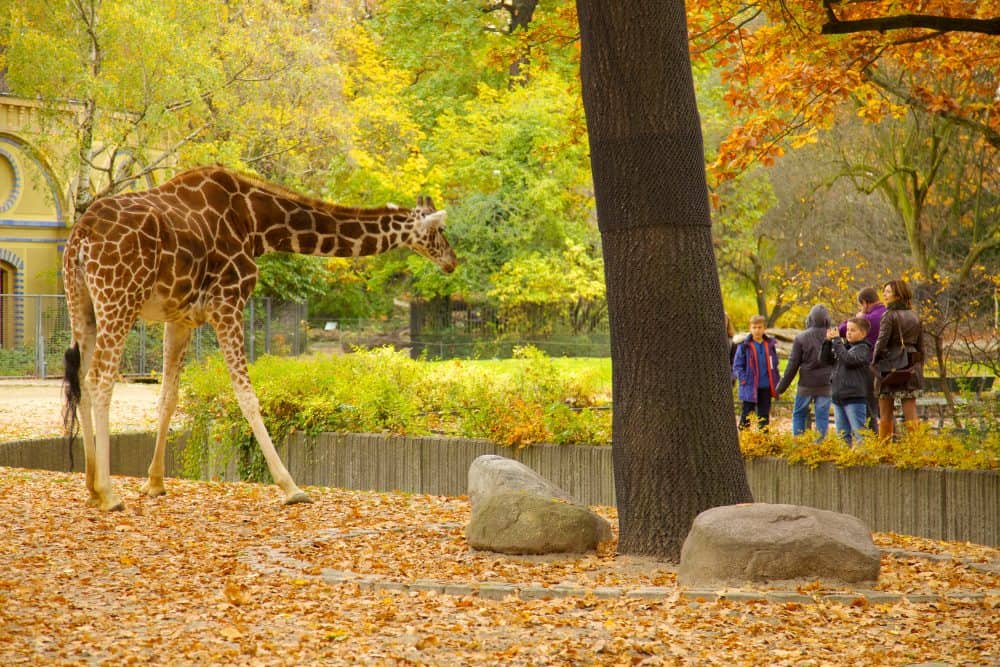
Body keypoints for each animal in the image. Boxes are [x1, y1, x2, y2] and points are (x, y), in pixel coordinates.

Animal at [64, 168, 462, 512]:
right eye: (440, 229)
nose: (452, 262)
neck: (258, 223)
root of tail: (80, 237)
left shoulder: (180, 318)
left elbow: (168, 397)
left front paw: (155, 482)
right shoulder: (228, 302)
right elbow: (248, 397)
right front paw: (291, 487)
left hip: (81, 302)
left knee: (81, 379)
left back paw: (90, 485)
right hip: (119, 299)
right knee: (100, 379)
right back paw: (108, 492)